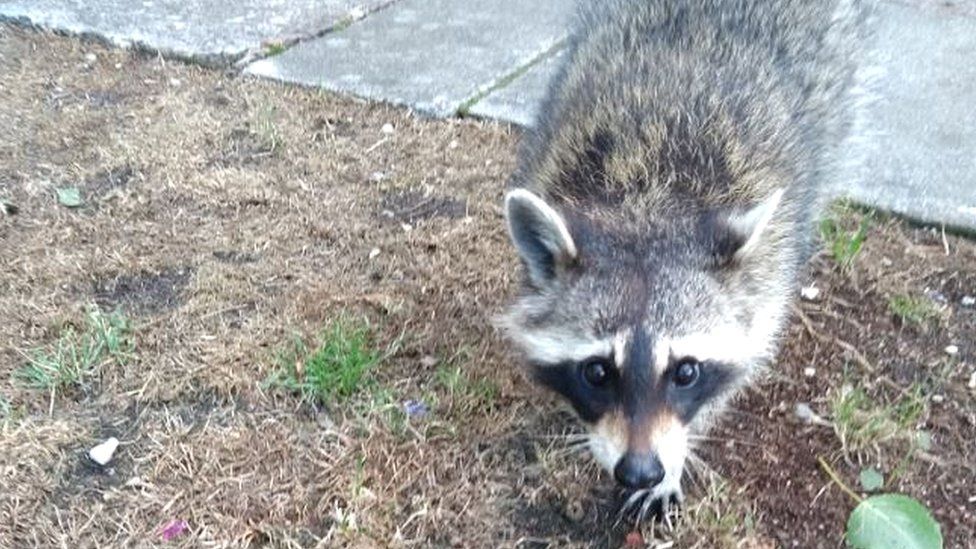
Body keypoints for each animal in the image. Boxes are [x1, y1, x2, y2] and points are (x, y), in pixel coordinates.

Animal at [500, 0, 868, 505]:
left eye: (686, 372)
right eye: (596, 372)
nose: (639, 471)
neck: (647, 198)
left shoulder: (771, 263)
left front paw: (678, 454)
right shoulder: (548, 156)